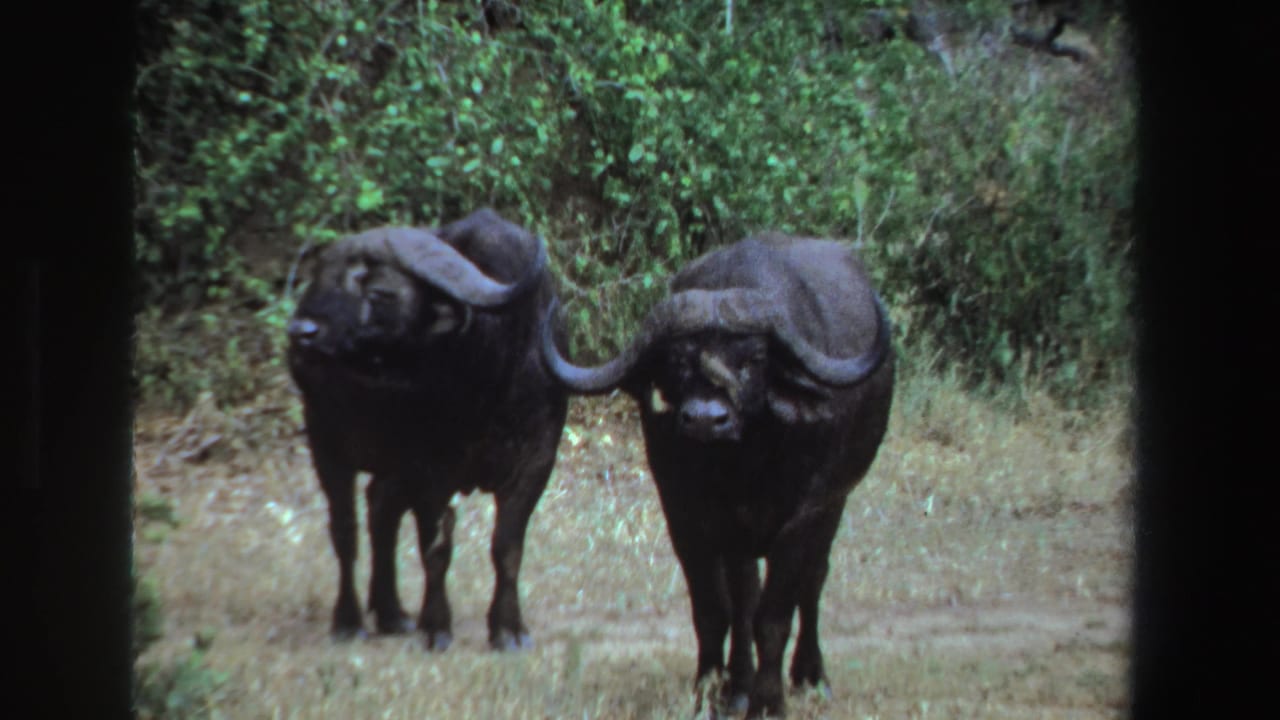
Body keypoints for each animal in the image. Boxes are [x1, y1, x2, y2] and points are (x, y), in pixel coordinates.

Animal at [286, 208, 567, 651]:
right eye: (319, 279)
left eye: (380, 291)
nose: (302, 333)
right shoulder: (431, 470)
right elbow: (436, 547)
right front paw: (436, 626)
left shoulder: (537, 460)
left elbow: (507, 547)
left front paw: (508, 629)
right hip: (326, 444)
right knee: (346, 530)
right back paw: (349, 621)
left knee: (380, 509)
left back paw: (391, 613)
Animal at [542, 234, 894, 717]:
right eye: (677, 361)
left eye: (754, 359)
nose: (706, 420)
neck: (742, 466)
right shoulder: (687, 516)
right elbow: (716, 610)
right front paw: (710, 692)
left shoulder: (806, 514)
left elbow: (774, 614)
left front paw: (768, 701)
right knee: (745, 598)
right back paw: (738, 686)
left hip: (835, 504)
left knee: (813, 580)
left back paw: (810, 676)